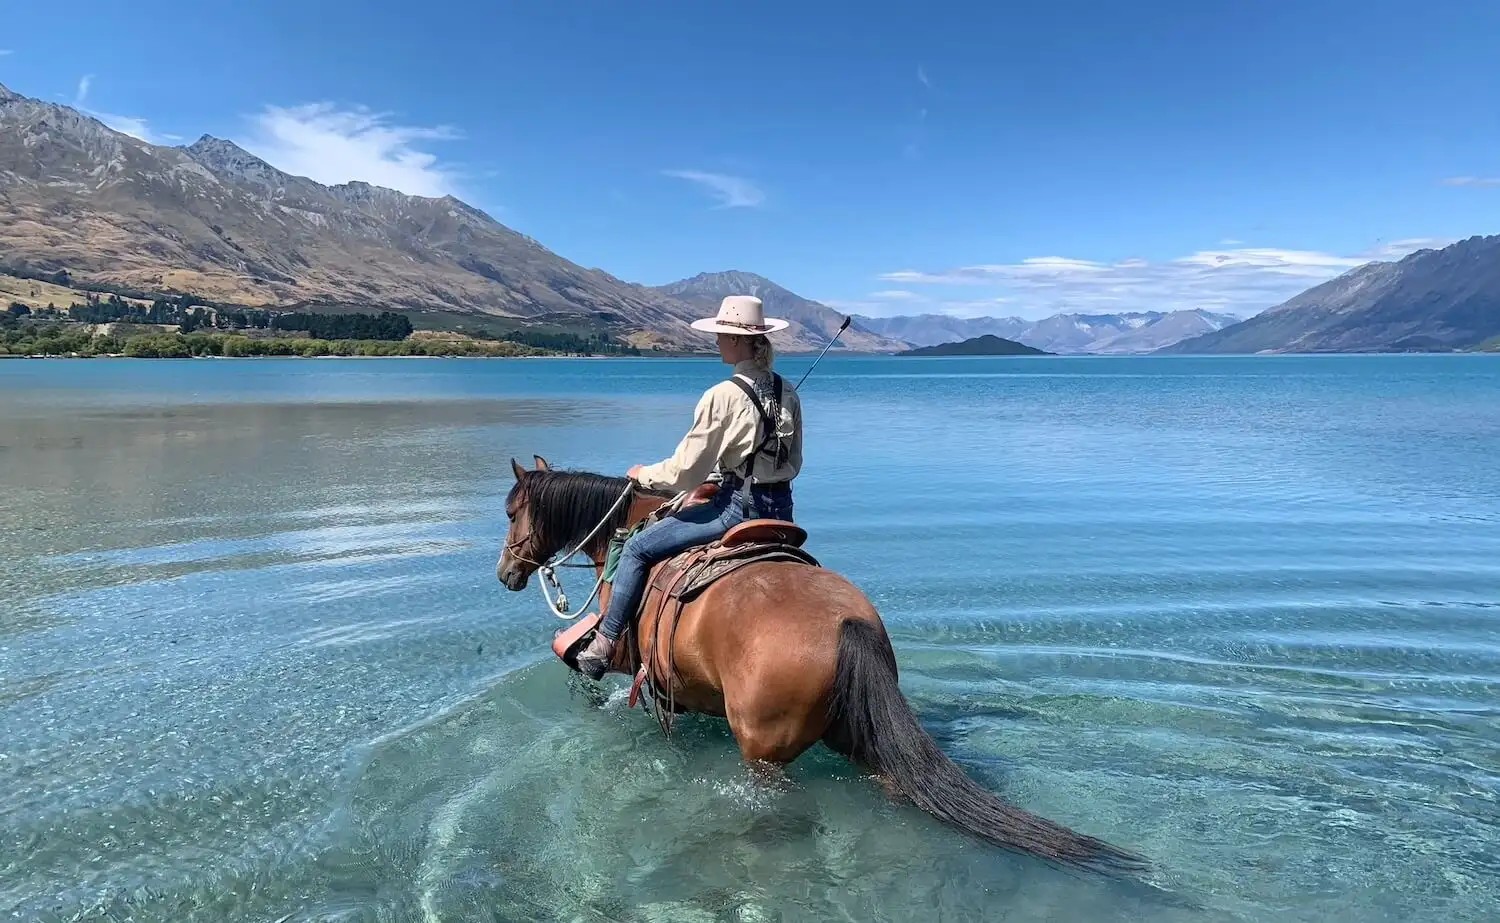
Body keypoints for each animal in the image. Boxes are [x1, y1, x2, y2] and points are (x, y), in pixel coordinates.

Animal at [495, 455, 1146, 876]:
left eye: (511, 511)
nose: (506, 572)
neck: (630, 533)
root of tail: (849, 626)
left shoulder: (629, 652)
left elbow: (587, 663)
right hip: (859, 737)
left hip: (764, 753)